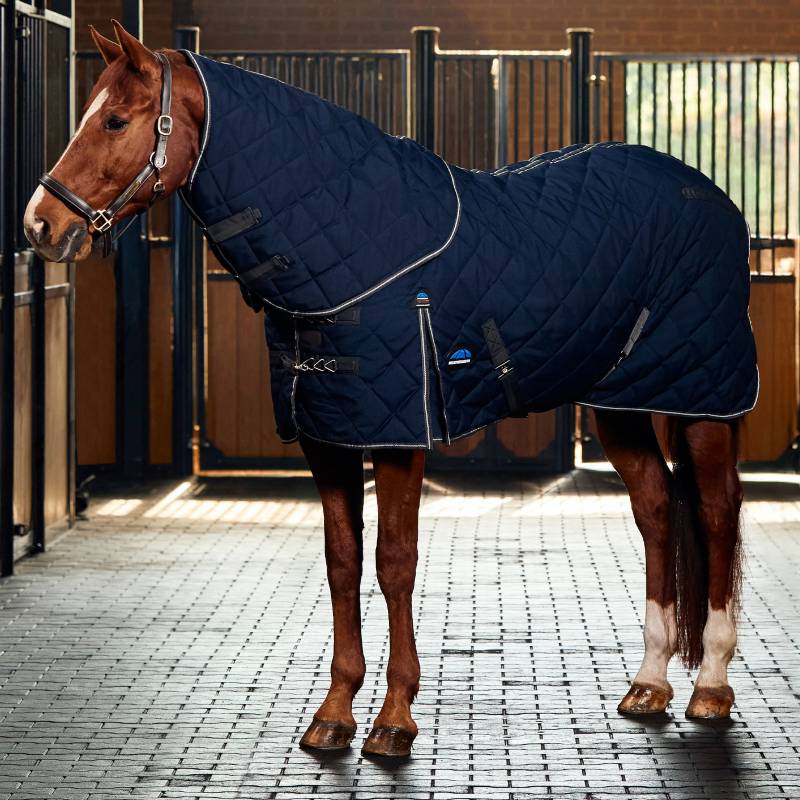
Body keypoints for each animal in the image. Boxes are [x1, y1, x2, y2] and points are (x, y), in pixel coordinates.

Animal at [24, 21, 751, 758]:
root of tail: (711, 195)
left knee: (718, 514)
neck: (360, 244)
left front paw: (395, 718)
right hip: (621, 405)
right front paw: (335, 713)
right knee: (656, 509)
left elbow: (394, 561)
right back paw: (649, 684)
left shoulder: (399, 434)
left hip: (705, 400)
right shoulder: (329, 435)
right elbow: (342, 561)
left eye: (115, 120)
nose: (40, 225)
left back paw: (711, 687)